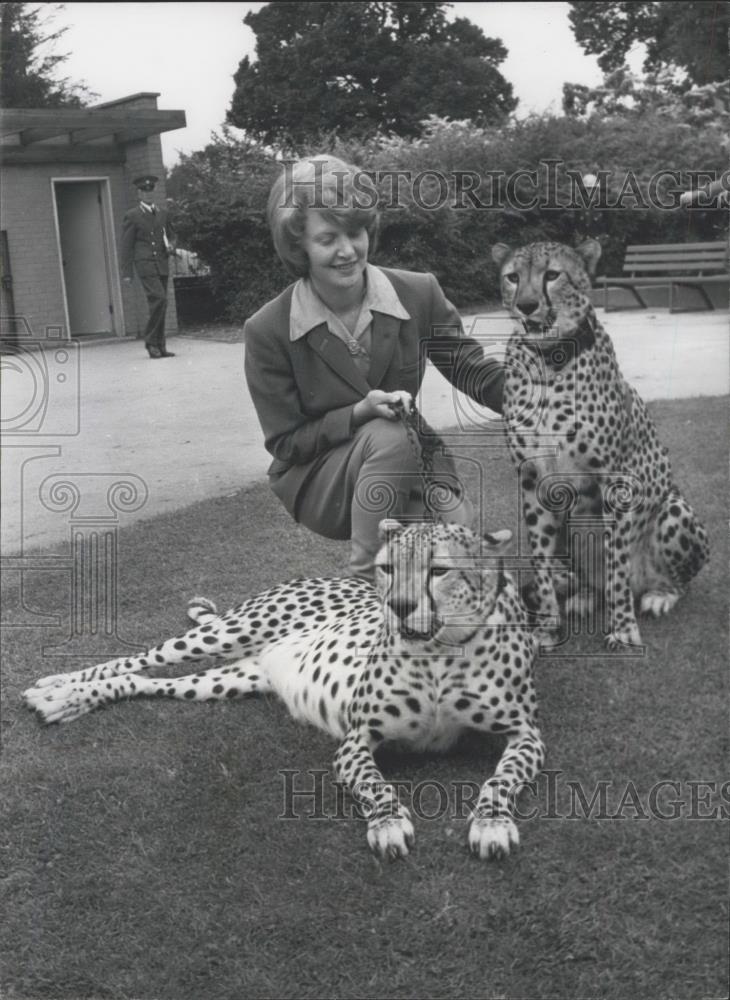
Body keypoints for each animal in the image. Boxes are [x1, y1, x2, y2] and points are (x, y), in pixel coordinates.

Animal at [22, 524, 544, 860]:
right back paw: (57, 688)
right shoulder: (357, 739)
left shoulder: (527, 734)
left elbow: (501, 778)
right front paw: (388, 823)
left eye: (439, 570)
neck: (437, 652)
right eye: (386, 568)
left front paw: (492, 823)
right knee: (134, 660)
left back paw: (67, 699)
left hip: (226, 681)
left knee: (145, 681)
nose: (397, 606)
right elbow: (375, 784)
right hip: (227, 632)